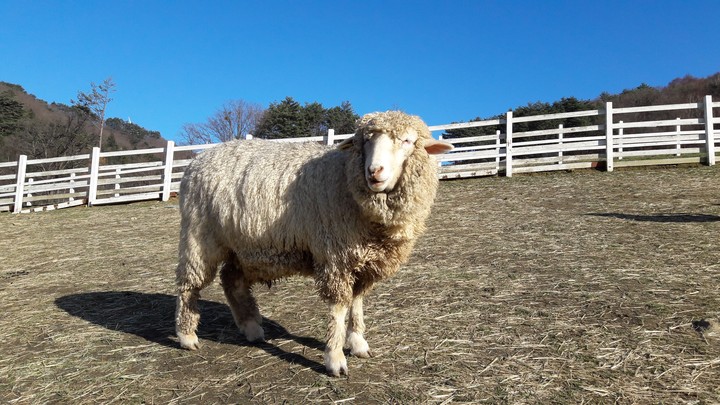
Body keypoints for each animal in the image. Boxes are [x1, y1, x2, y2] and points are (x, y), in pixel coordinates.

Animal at [174, 110, 453, 376]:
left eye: (407, 141)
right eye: (365, 142)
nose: (374, 171)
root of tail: (198, 161)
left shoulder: (365, 260)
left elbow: (357, 303)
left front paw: (358, 343)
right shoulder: (336, 256)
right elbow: (339, 307)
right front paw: (335, 358)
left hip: (241, 246)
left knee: (232, 280)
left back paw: (251, 327)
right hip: (200, 236)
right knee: (189, 285)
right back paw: (187, 336)